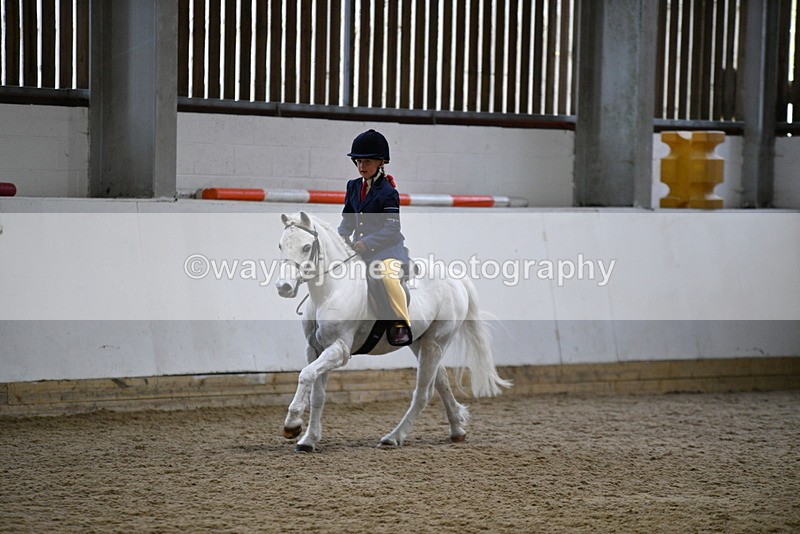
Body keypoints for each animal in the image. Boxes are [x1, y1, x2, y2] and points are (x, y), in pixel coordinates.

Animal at [275, 211, 511, 452]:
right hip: (420, 342)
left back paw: (393, 437)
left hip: (436, 341)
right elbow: (317, 394)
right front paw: (308, 439)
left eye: (306, 247)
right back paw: (457, 429)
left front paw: (292, 424)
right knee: (441, 380)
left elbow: (305, 375)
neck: (332, 290)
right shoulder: (315, 349)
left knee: (423, 393)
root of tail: (455, 277)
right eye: (280, 245)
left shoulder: (339, 350)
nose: (283, 287)